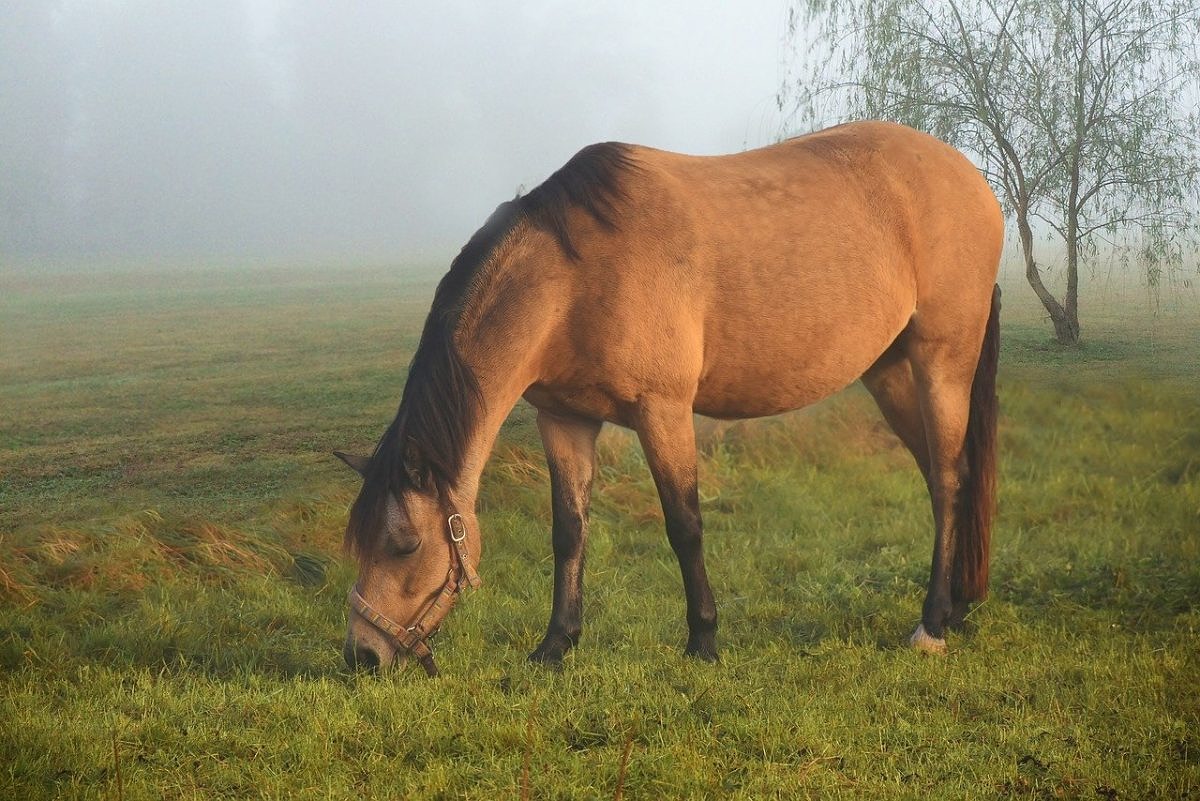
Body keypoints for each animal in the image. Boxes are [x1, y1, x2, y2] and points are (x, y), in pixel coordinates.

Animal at [333, 120, 998, 676]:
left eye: (405, 546)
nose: (363, 655)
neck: (576, 278)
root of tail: (972, 179)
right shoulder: (564, 419)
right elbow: (568, 531)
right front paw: (555, 644)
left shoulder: (664, 411)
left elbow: (684, 525)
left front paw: (703, 640)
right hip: (888, 371)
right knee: (941, 474)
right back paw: (957, 607)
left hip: (942, 362)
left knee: (948, 479)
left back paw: (932, 625)